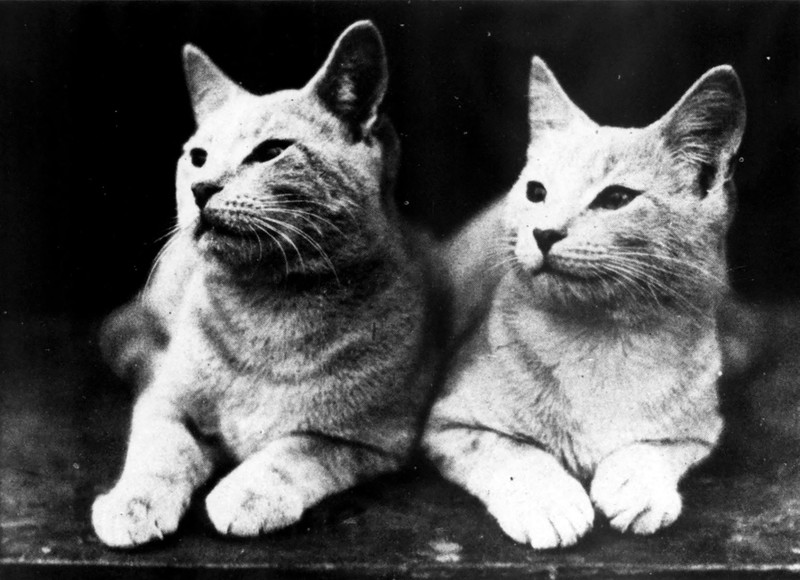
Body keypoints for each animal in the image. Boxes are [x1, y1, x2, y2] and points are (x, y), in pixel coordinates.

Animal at [91, 21, 438, 548]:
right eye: (198, 156)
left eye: (271, 152)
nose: (201, 188)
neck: (268, 311)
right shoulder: (164, 401)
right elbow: (158, 451)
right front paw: (133, 504)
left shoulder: (372, 439)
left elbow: (293, 452)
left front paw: (248, 495)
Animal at [423, 57, 746, 549]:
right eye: (536, 192)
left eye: (616, 198)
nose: (544, 232)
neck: (601, 338)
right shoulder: (450, 423)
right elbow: (511, 451)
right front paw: (547, 501)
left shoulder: (699, 430)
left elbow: (655, 448)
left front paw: (636, 484)